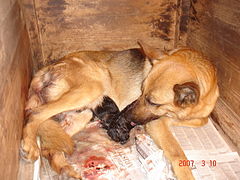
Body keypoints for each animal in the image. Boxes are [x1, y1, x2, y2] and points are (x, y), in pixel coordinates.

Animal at [21, 41, 218, 179]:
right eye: (141, 89)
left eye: (152, 102)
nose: (126, 116)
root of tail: (48, 67)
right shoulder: (156, 124)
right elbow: (177, 153)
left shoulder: (199, 117)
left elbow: (201, 120)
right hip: (91, 88)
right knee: (36, 114)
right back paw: (30, 145)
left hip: (83, 113)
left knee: (51, 147)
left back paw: (66, 169)